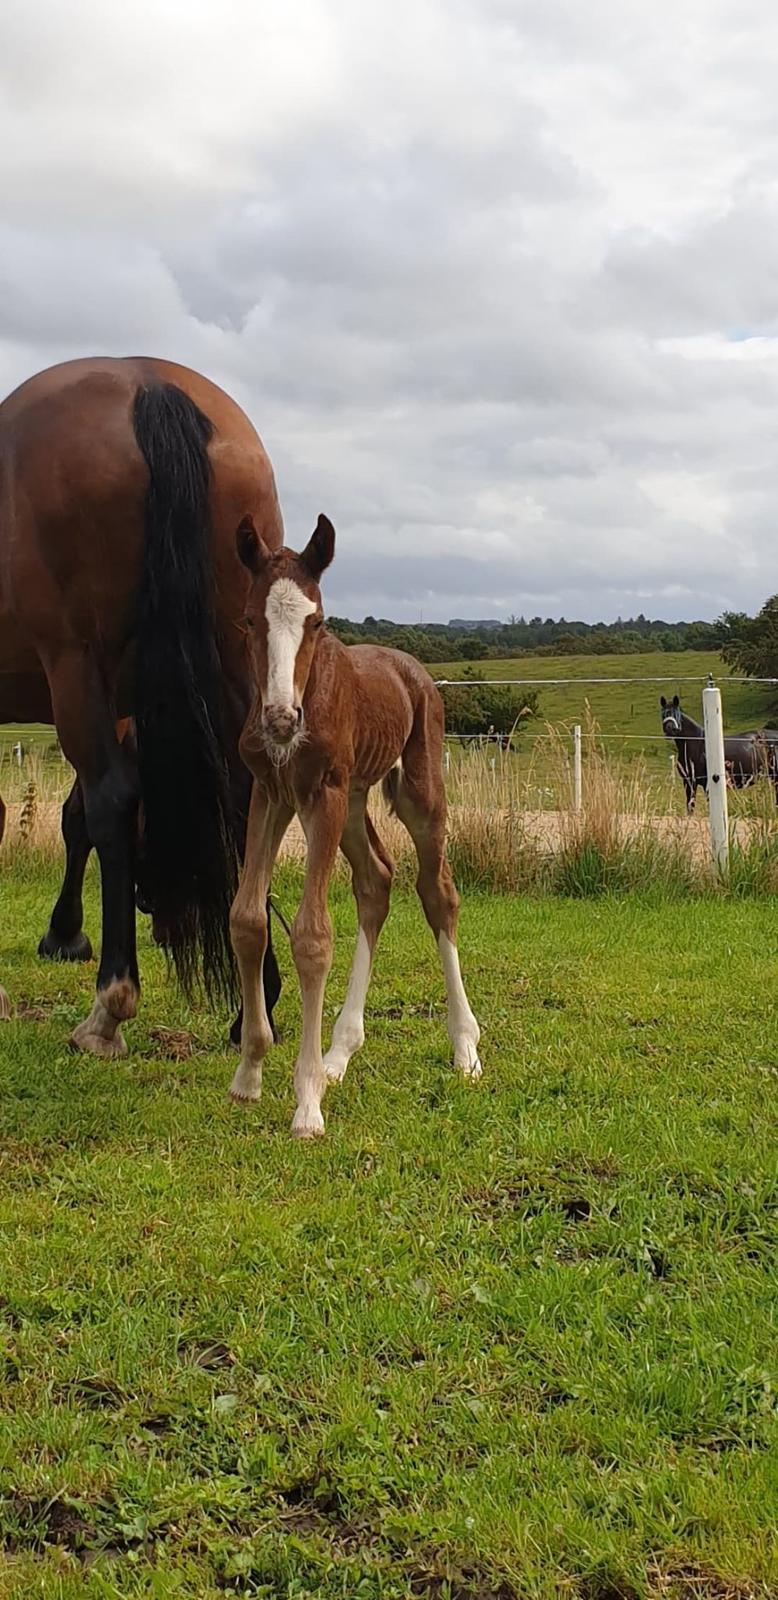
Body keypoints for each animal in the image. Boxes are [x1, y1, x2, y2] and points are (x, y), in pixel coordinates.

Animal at [0, 353, 284, 1049]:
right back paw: (256, 1004)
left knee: (112, 798)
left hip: (74, 662)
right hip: (235, 653)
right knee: (248, 795)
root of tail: (147, 384)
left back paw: (109, 1007)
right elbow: (71, 818)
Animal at [224, 512, 480, 1139]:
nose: (280, 719)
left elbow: (313, 937)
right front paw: (250, 1075)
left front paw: (306, 1103)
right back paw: (340, 1050)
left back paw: (465, 1046)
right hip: (354, 804)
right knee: (376, 881)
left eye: (316, 621)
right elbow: (247, 919)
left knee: (438, 892)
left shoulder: (324, 793)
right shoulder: (271, 794)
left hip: (413, 795)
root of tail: (411, 668)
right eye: (249, 619)